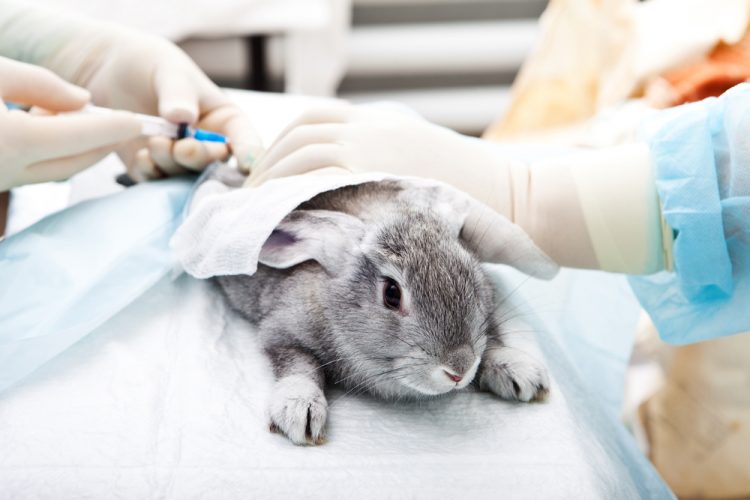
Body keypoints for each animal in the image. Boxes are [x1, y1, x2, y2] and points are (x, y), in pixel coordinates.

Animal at [214, 179, 556, 446]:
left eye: (470, 273)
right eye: (392, 294)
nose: (459, 370)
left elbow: (491, 338)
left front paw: (519, 372)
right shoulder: (282, 331)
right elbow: (298, 365)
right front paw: (299, 410)